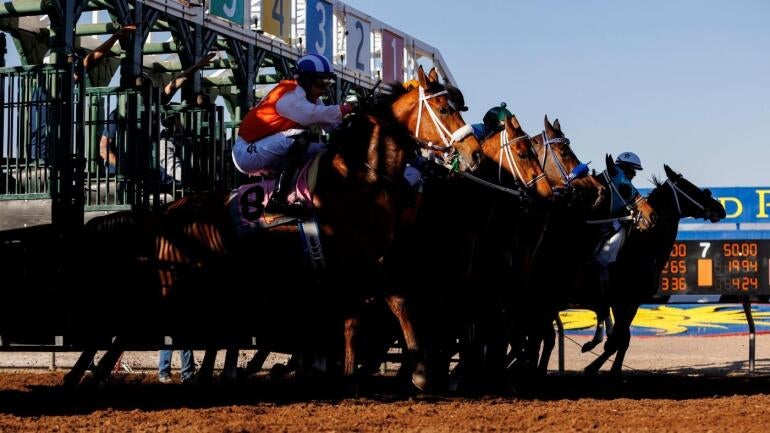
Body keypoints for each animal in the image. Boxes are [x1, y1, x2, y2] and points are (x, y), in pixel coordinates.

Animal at [63, 66, 483, 390]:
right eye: (444, 107)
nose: (474, 153)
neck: (363, 175)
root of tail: (164, 212)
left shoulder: (350, 267)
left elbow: (352, 318)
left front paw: (347, 376)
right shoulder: (362, 258)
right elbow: (397, 300)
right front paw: (421, 371)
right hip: (175, 280)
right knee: (134, 317)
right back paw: (86, 373)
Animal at [583, 165, 725, 375]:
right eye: (688, 186)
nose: (720, 208)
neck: (640, 246)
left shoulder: (633, 302)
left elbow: (622, 340)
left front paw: (609, 367)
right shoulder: (621, 299)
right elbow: (618, 339)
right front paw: (592, 366)